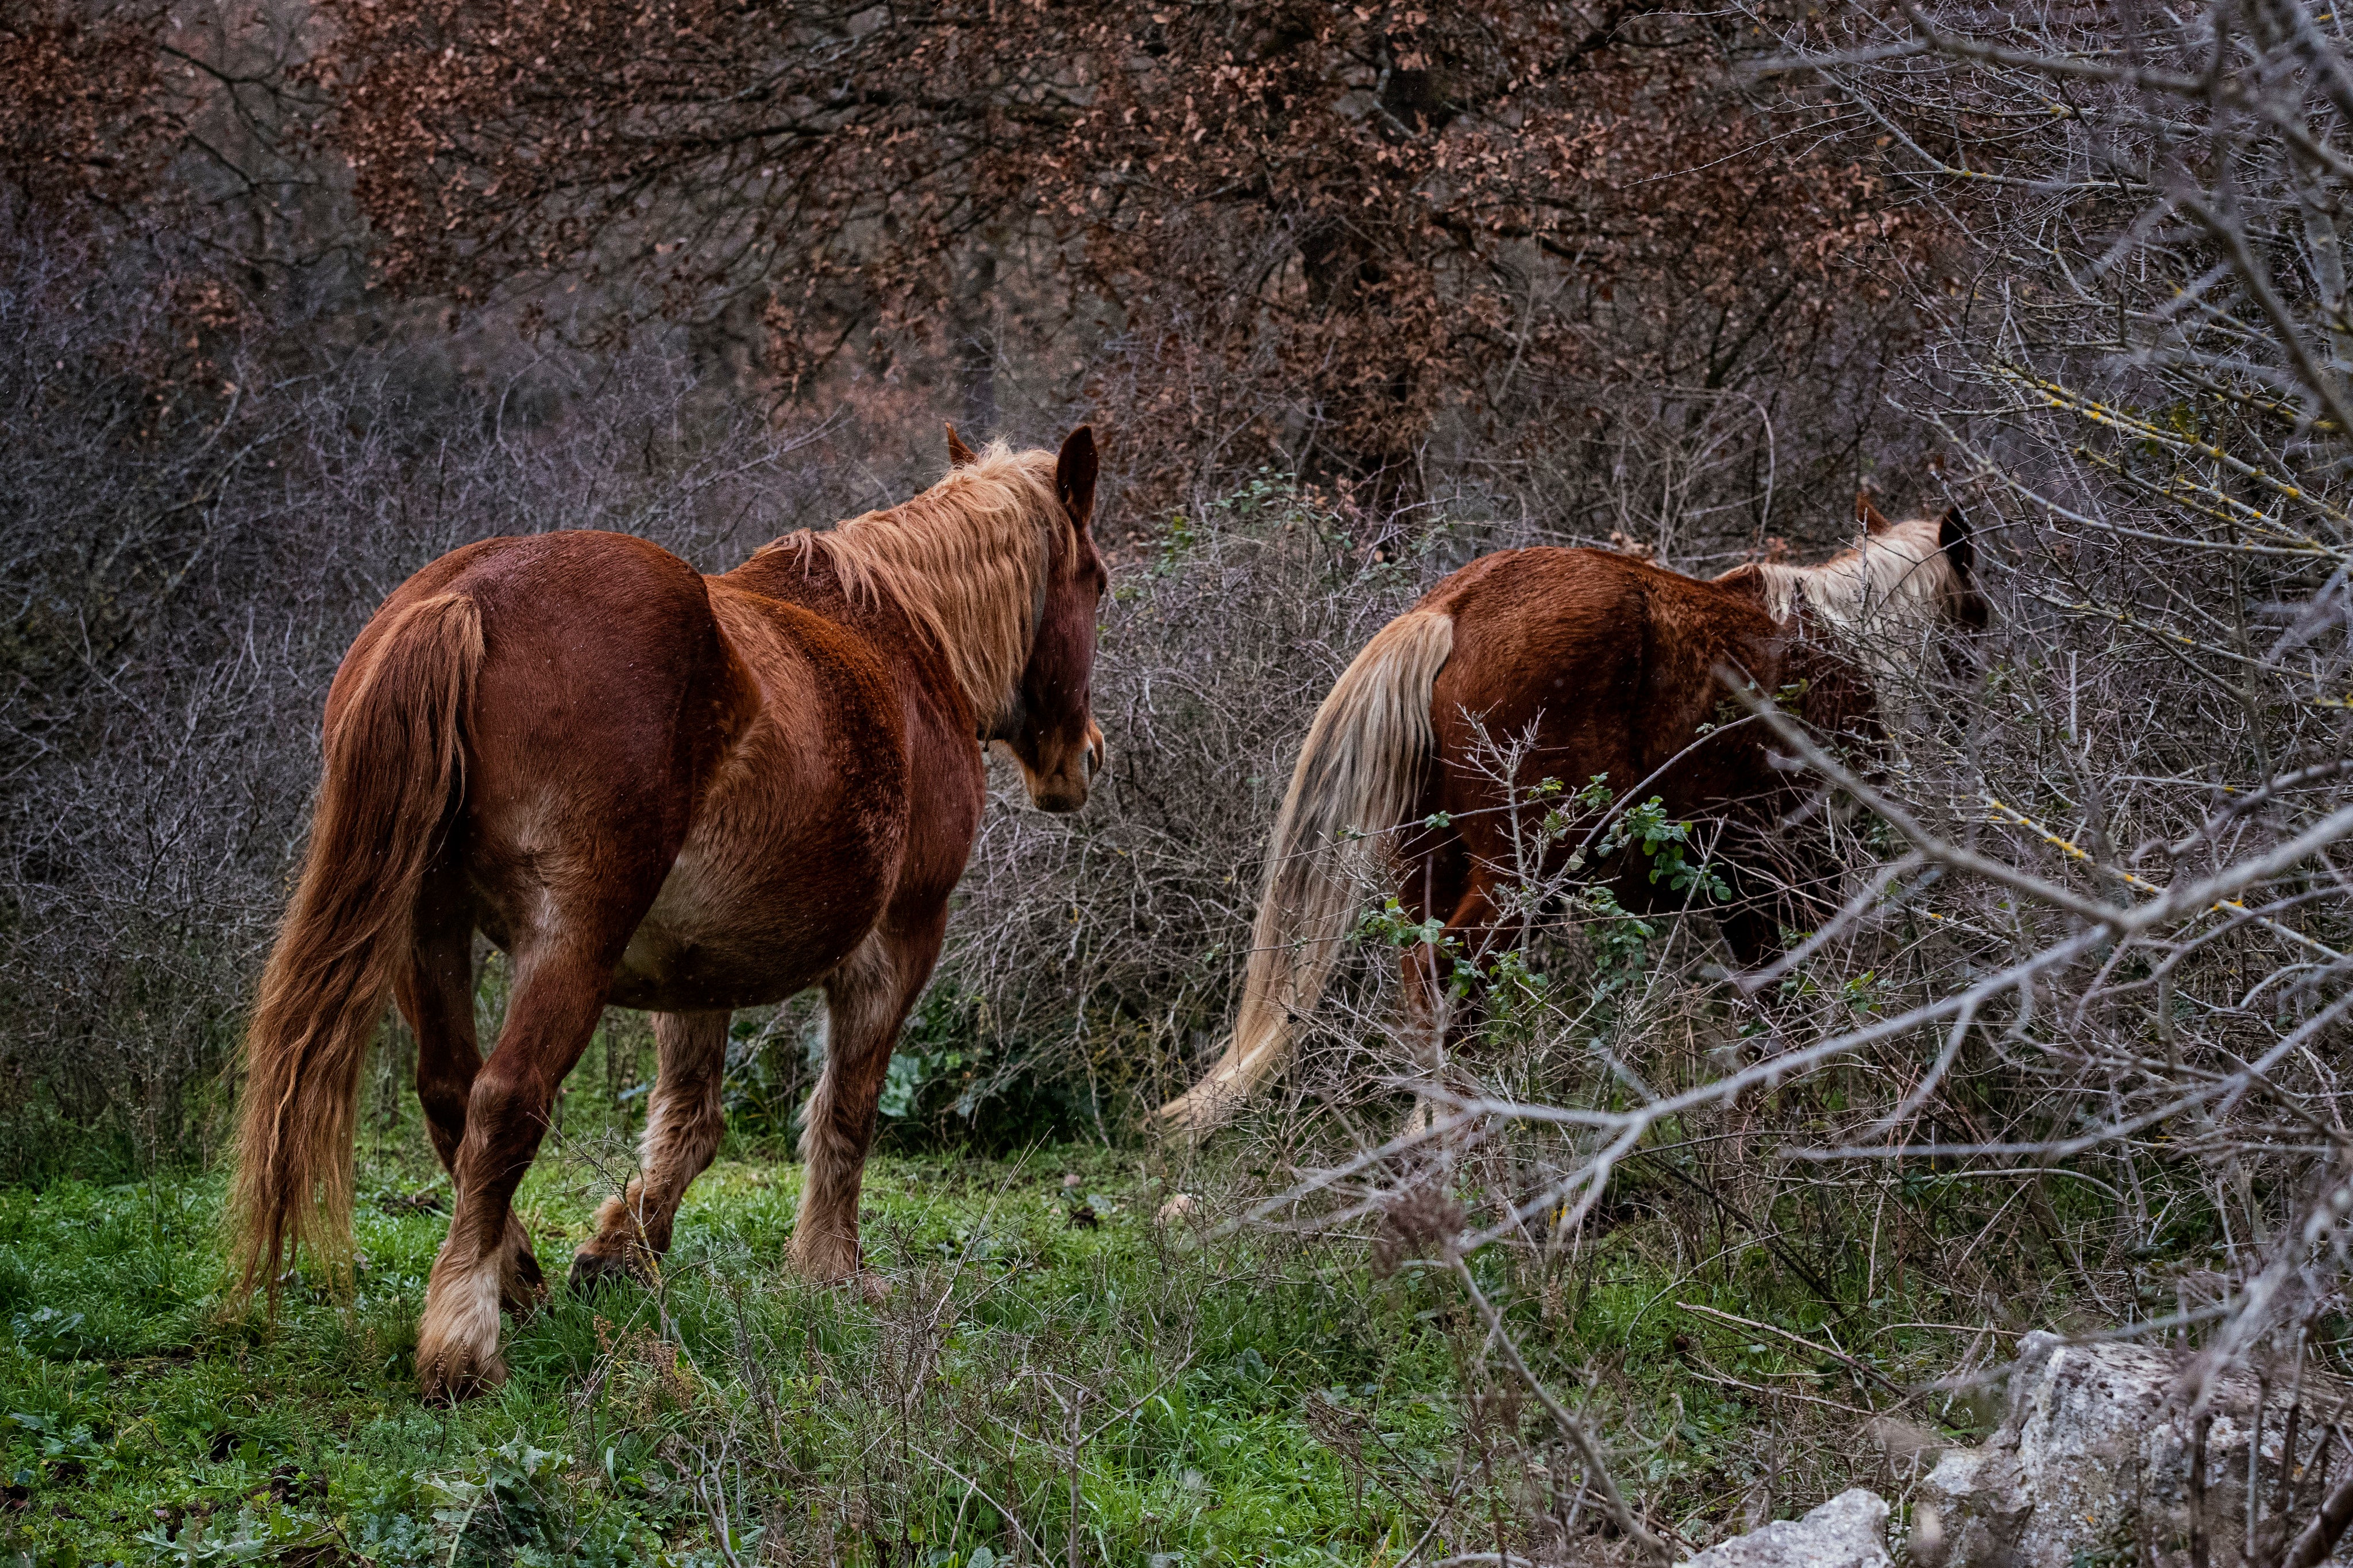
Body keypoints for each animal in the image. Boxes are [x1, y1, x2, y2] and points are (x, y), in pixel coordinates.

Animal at [230, 424, 1107, 1399]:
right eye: (1099, 582)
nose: (1086, 758)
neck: (907, 641)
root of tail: (468, 595)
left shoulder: (692, 971)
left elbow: (691, 1119)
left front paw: (622, 1252)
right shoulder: (903, 939)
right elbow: (846, 1108)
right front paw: (831, 1271)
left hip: (431, 932)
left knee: (450, 1093)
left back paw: (517, 1278)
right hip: (570, 941)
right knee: (505, 1099)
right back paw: (464, 1341)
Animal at [1155, 500, 1985, 1139]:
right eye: (1976, 617)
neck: (1844, 646)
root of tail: (1452, 608)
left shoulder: (1743, 888)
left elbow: (1768, 1008)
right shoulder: (1804, 875)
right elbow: (1796, 1008)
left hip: (1428, 864)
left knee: (1424, 987)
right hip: (1527, 869)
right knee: (1449, 976)